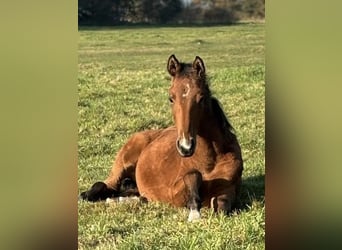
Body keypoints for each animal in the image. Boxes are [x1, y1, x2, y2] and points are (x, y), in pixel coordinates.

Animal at [81, 54, 243, 221]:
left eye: (201, 98)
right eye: (171, 98)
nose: (185, 146)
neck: (210, 162)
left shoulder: (228, 191)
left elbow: (222, 207)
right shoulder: (172, 192)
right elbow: (193, 175)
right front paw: (194, 214)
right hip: (121, 165)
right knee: (104, 185)